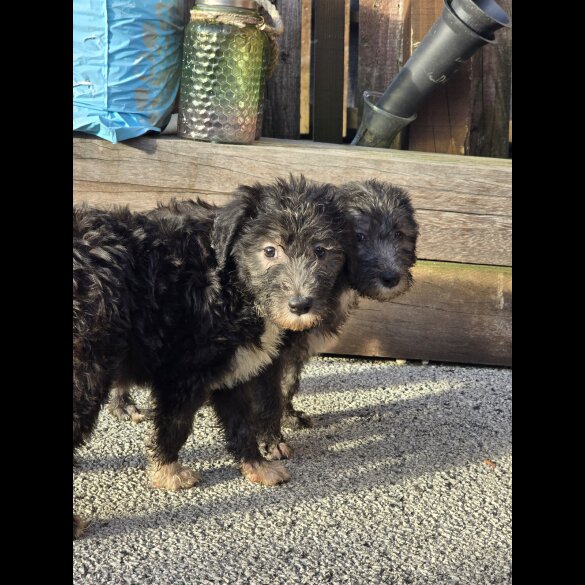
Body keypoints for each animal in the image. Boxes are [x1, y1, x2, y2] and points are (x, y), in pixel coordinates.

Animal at [72, 176, 346, 536]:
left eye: (321, 251)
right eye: (269, 250)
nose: (300, 305)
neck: (228, 280)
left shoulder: (235, 369)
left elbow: (241, 423)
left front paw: (256, 465)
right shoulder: (186, 373)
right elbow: (176, 425)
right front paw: (167, 471)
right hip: (86, 375)